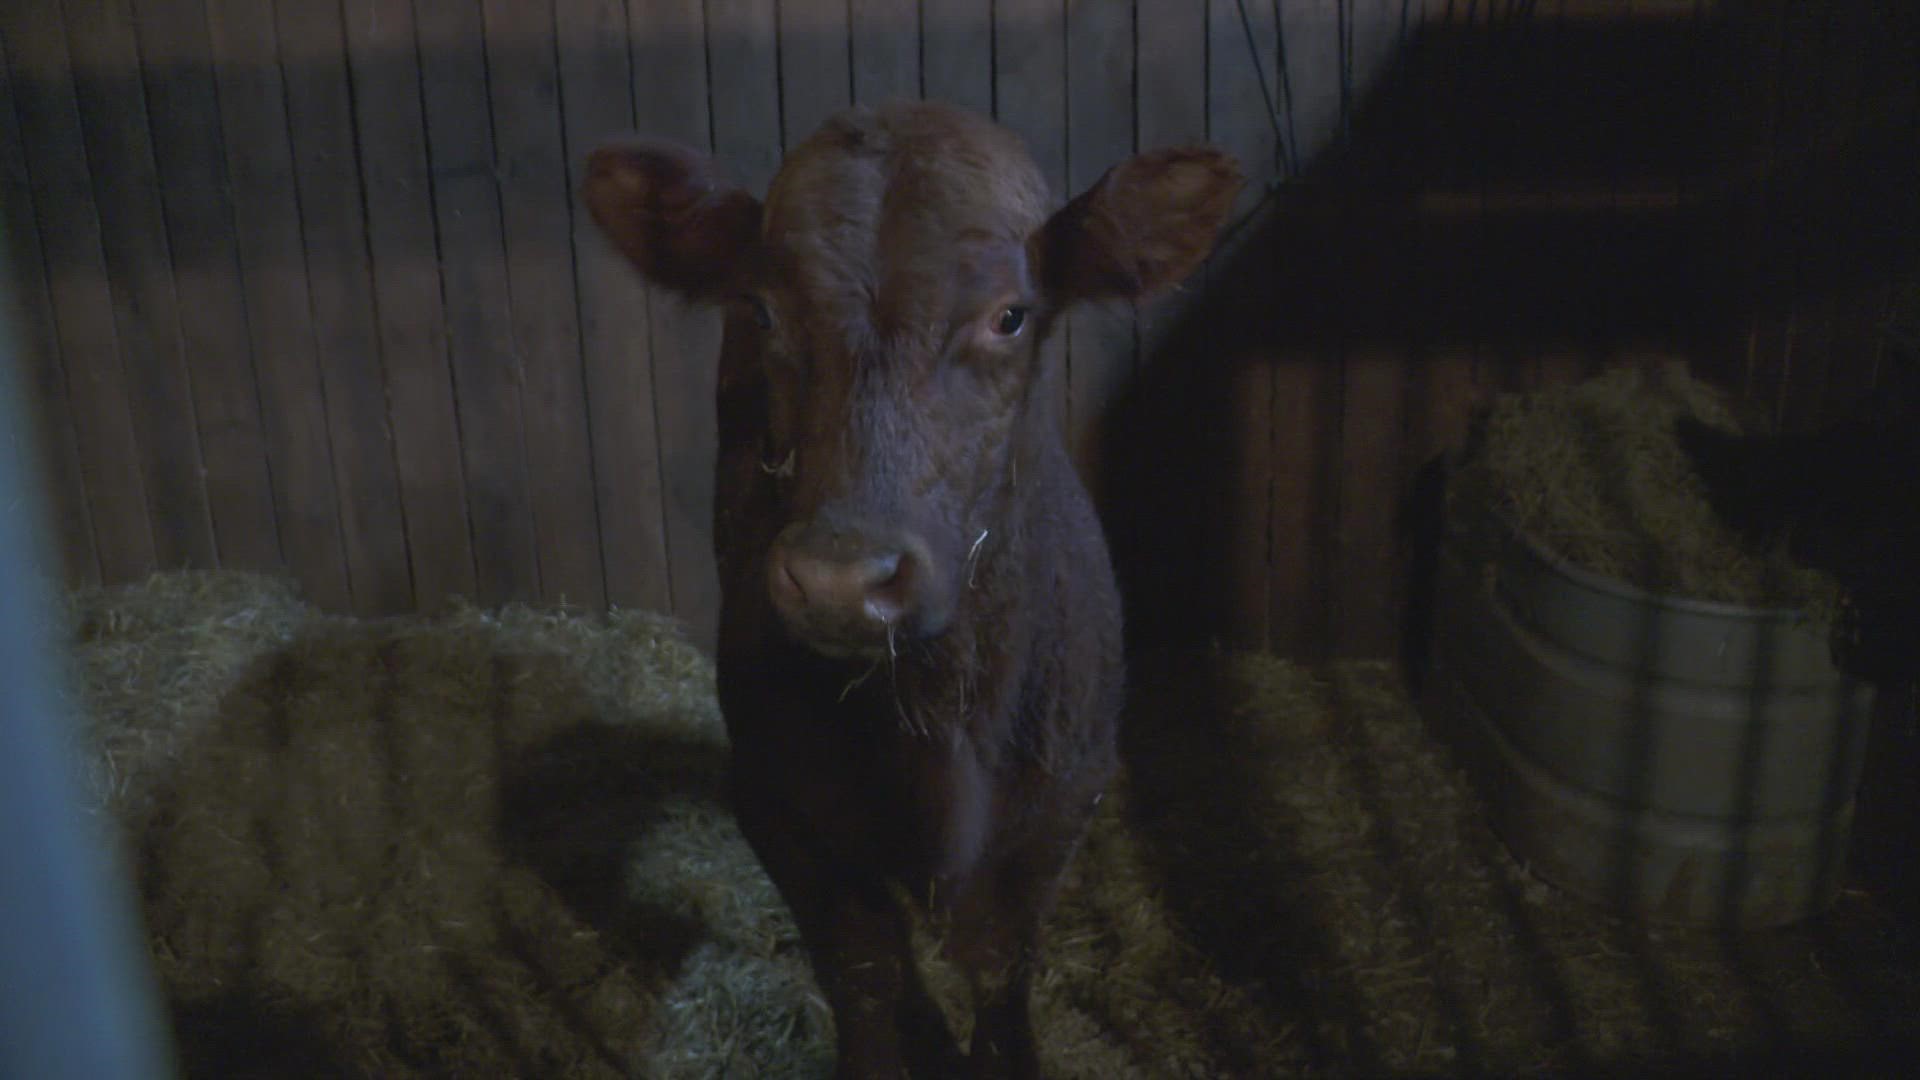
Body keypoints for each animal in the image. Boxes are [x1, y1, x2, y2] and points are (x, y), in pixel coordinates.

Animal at [587, 102, 1244, 1076]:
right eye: (762, 308)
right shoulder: (777, 803)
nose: (839, 578)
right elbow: (863, 970)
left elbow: (1002, 968)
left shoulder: (1063, 804)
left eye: (1010, 316)